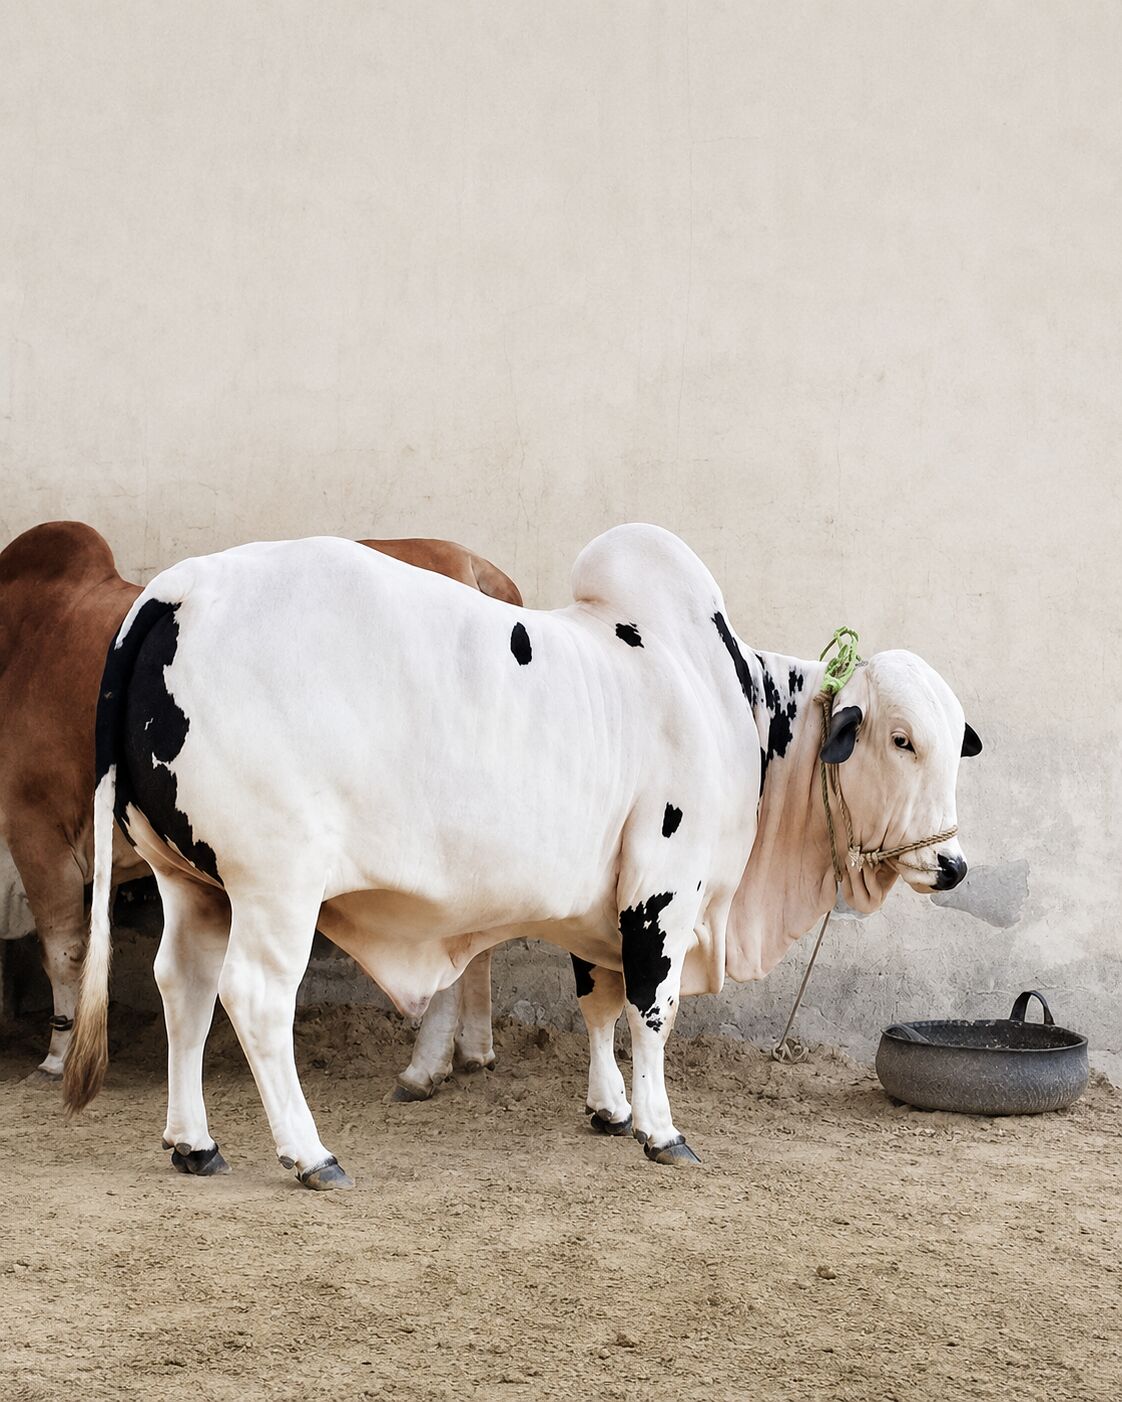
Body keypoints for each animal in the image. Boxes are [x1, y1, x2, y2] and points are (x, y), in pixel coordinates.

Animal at [0, 520, 520, 1085]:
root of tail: (474, 566)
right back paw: (474, 1050)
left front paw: (57, 1057)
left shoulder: (36, 828)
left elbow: (64, 949)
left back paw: (424, 1067)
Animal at [63, 523, 980, 1188]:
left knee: (183, 988)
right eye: (901, 739)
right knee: (253, 999)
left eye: (953, 745)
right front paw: (660, 1129)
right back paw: (309, 1154)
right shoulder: (662, 889)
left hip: (193, 882)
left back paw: (193, 1143)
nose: (953, 866)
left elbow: (598, 1005)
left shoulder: (602, 902)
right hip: (276, 882)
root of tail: (175, 590)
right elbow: (651, 1011)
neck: (738, 711)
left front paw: (611, 1110)